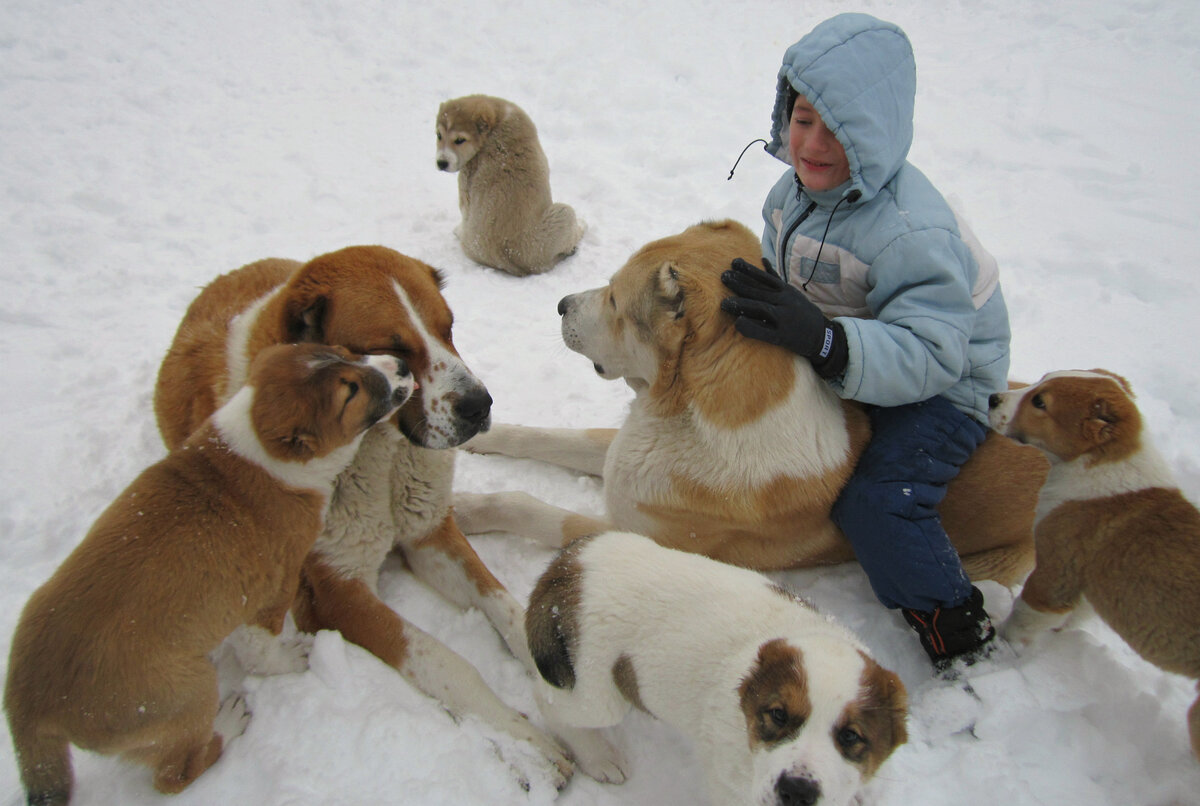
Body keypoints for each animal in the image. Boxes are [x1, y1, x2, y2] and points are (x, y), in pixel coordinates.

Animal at [3, 343, 412, 801]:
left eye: (344, 352)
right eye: (349, 392)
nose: (402, 365)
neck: (257, 450)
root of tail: (26, 707)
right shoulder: (269, 591)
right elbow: (261, 652)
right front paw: (290, 660)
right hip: (186, 693)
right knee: (173, 776)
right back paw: (228, 724)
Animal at [154, 243, 624, 786]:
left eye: (448, 327)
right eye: (393, 350)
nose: (480, 405)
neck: (379, 459)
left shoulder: (431, 536)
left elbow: (507, 610)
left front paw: (585, 738)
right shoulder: (336, 597)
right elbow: (445, 662)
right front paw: (528, 742)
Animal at [458, 220, 1051, 585]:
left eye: (614, 300)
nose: (560, 303)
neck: (692, 416)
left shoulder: (644, 540)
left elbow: (526, 506)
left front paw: (466, 511)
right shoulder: (622, 457)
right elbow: (546, 437)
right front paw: (478, 435)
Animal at [530, 532, 902, 801]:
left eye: (850, 736)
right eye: (778, 716)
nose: (797, 791)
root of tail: (568, 565)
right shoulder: (731, 785)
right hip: (597, 693)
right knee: (551, 706)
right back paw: (599, 757)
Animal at [984, 371, 1200, 762]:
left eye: (1040, 402)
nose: (993, 398)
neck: (1102, 461)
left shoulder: (1053, 576)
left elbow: (1024, 615)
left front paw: (1008, 644)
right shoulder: (1082, 586)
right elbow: (1073, 616)